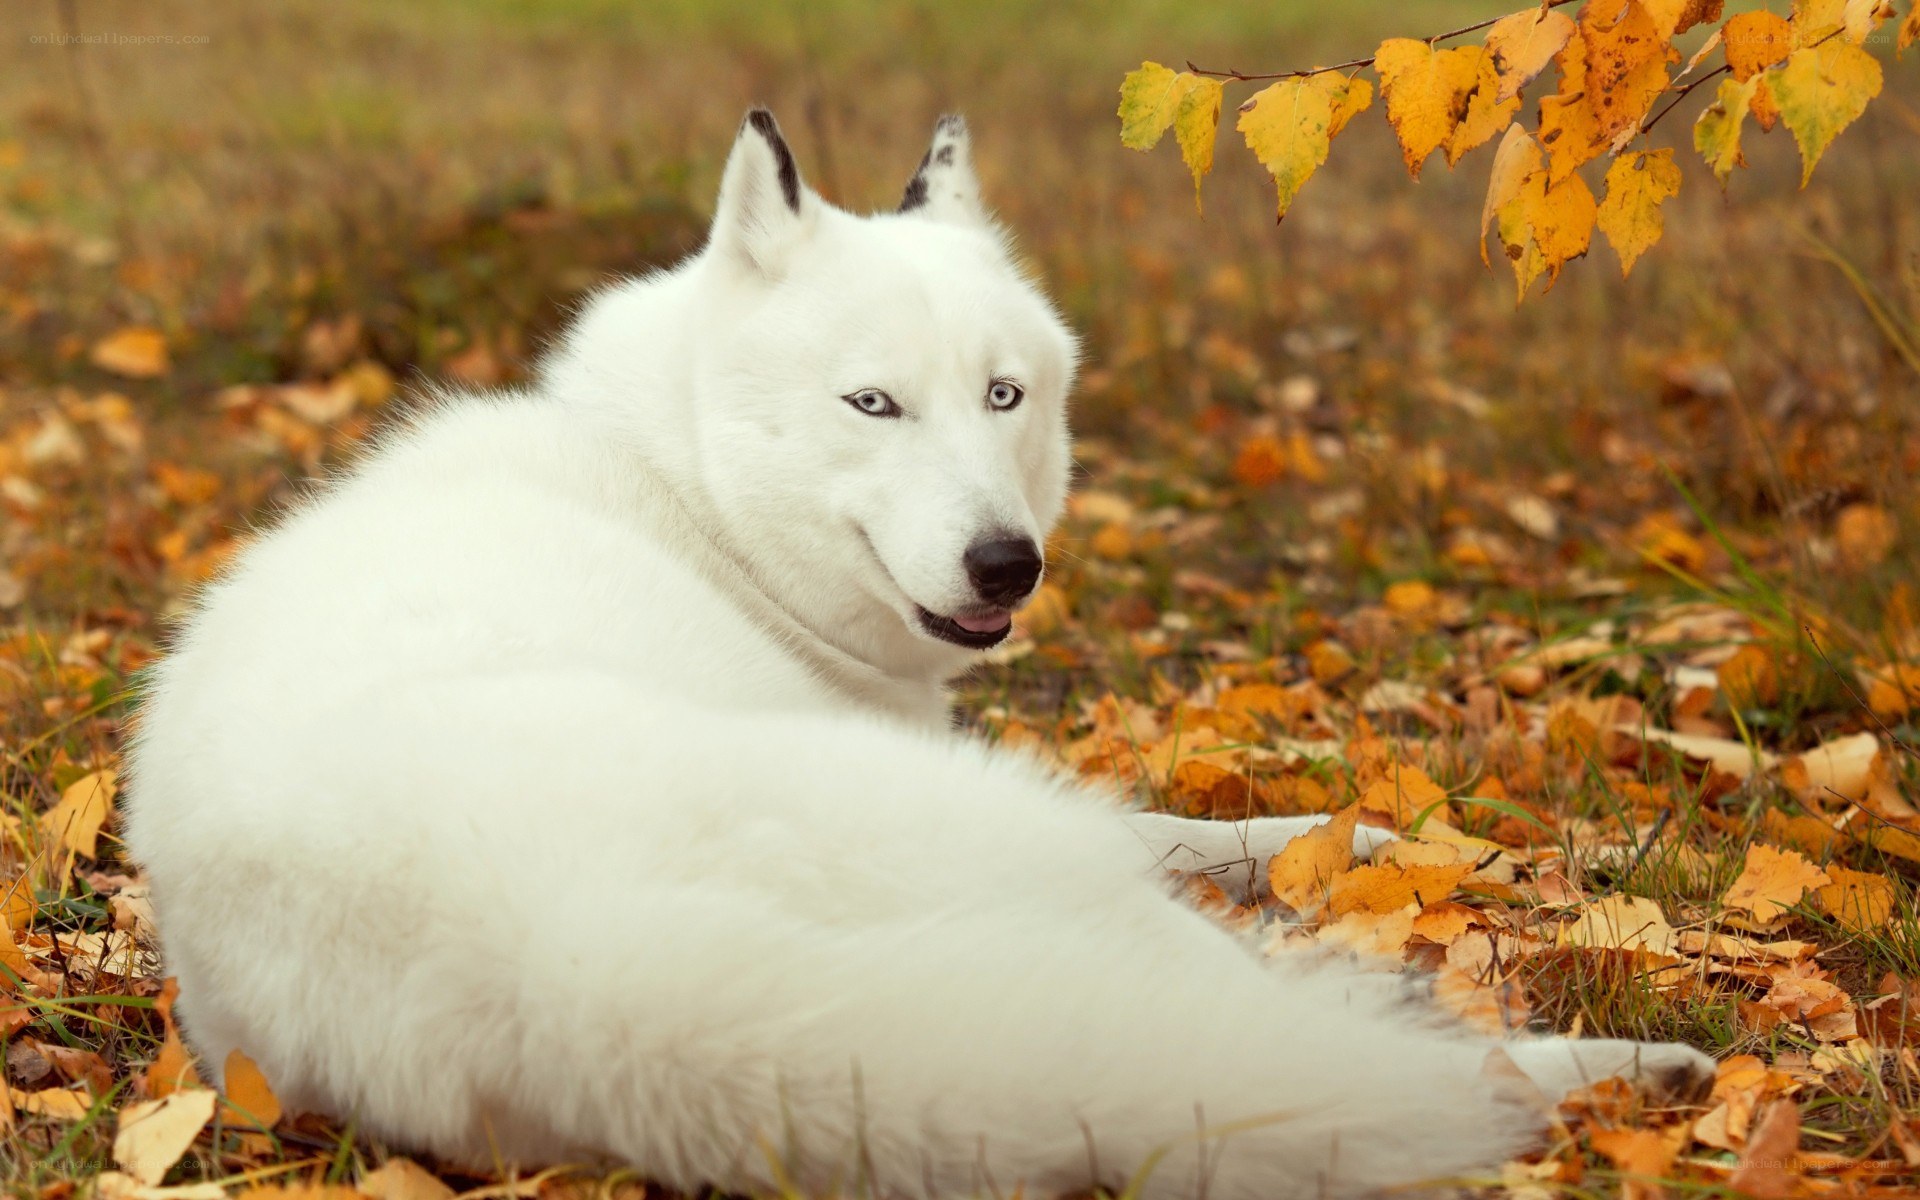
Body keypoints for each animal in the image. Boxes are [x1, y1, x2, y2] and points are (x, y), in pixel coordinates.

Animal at [124, 110, 1711, 1199]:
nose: (1010, 566)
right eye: (872, 404)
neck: (682, 491)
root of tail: (558, 963)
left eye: (1004, 395)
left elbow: (1216, 828)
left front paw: (1351, 831)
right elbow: (1185, 839)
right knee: (1344, 1047)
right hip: (1028, 866)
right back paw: (1635, 1075)